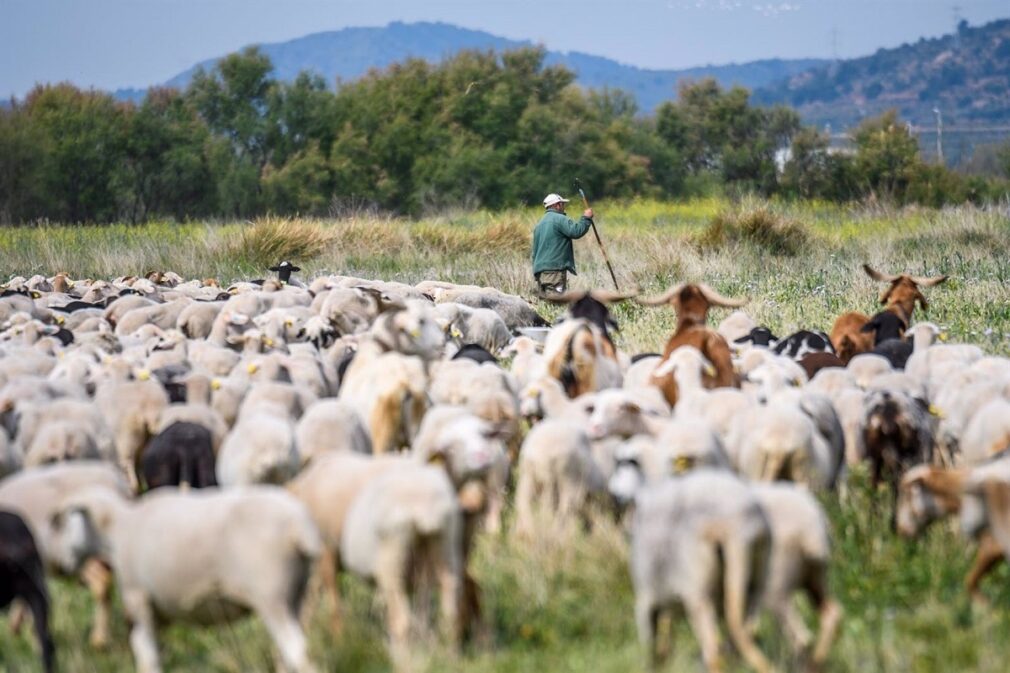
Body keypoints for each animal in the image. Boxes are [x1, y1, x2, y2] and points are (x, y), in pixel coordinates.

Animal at [49, 483, 321, 670]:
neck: (117, 529)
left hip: (271, 595)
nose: (63, 565)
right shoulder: (159, 610)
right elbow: (152, 650)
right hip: (296, 593)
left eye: (66, 522)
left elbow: (145, 652)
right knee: (290, 652)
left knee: (298, 650)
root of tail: (300, 525)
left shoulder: (138, 596)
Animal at [630, 468, 771, 670]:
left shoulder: (647, 595)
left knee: (712, 648)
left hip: (697, 581)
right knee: (745, 625)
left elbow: (649, 638)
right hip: (758, 568)